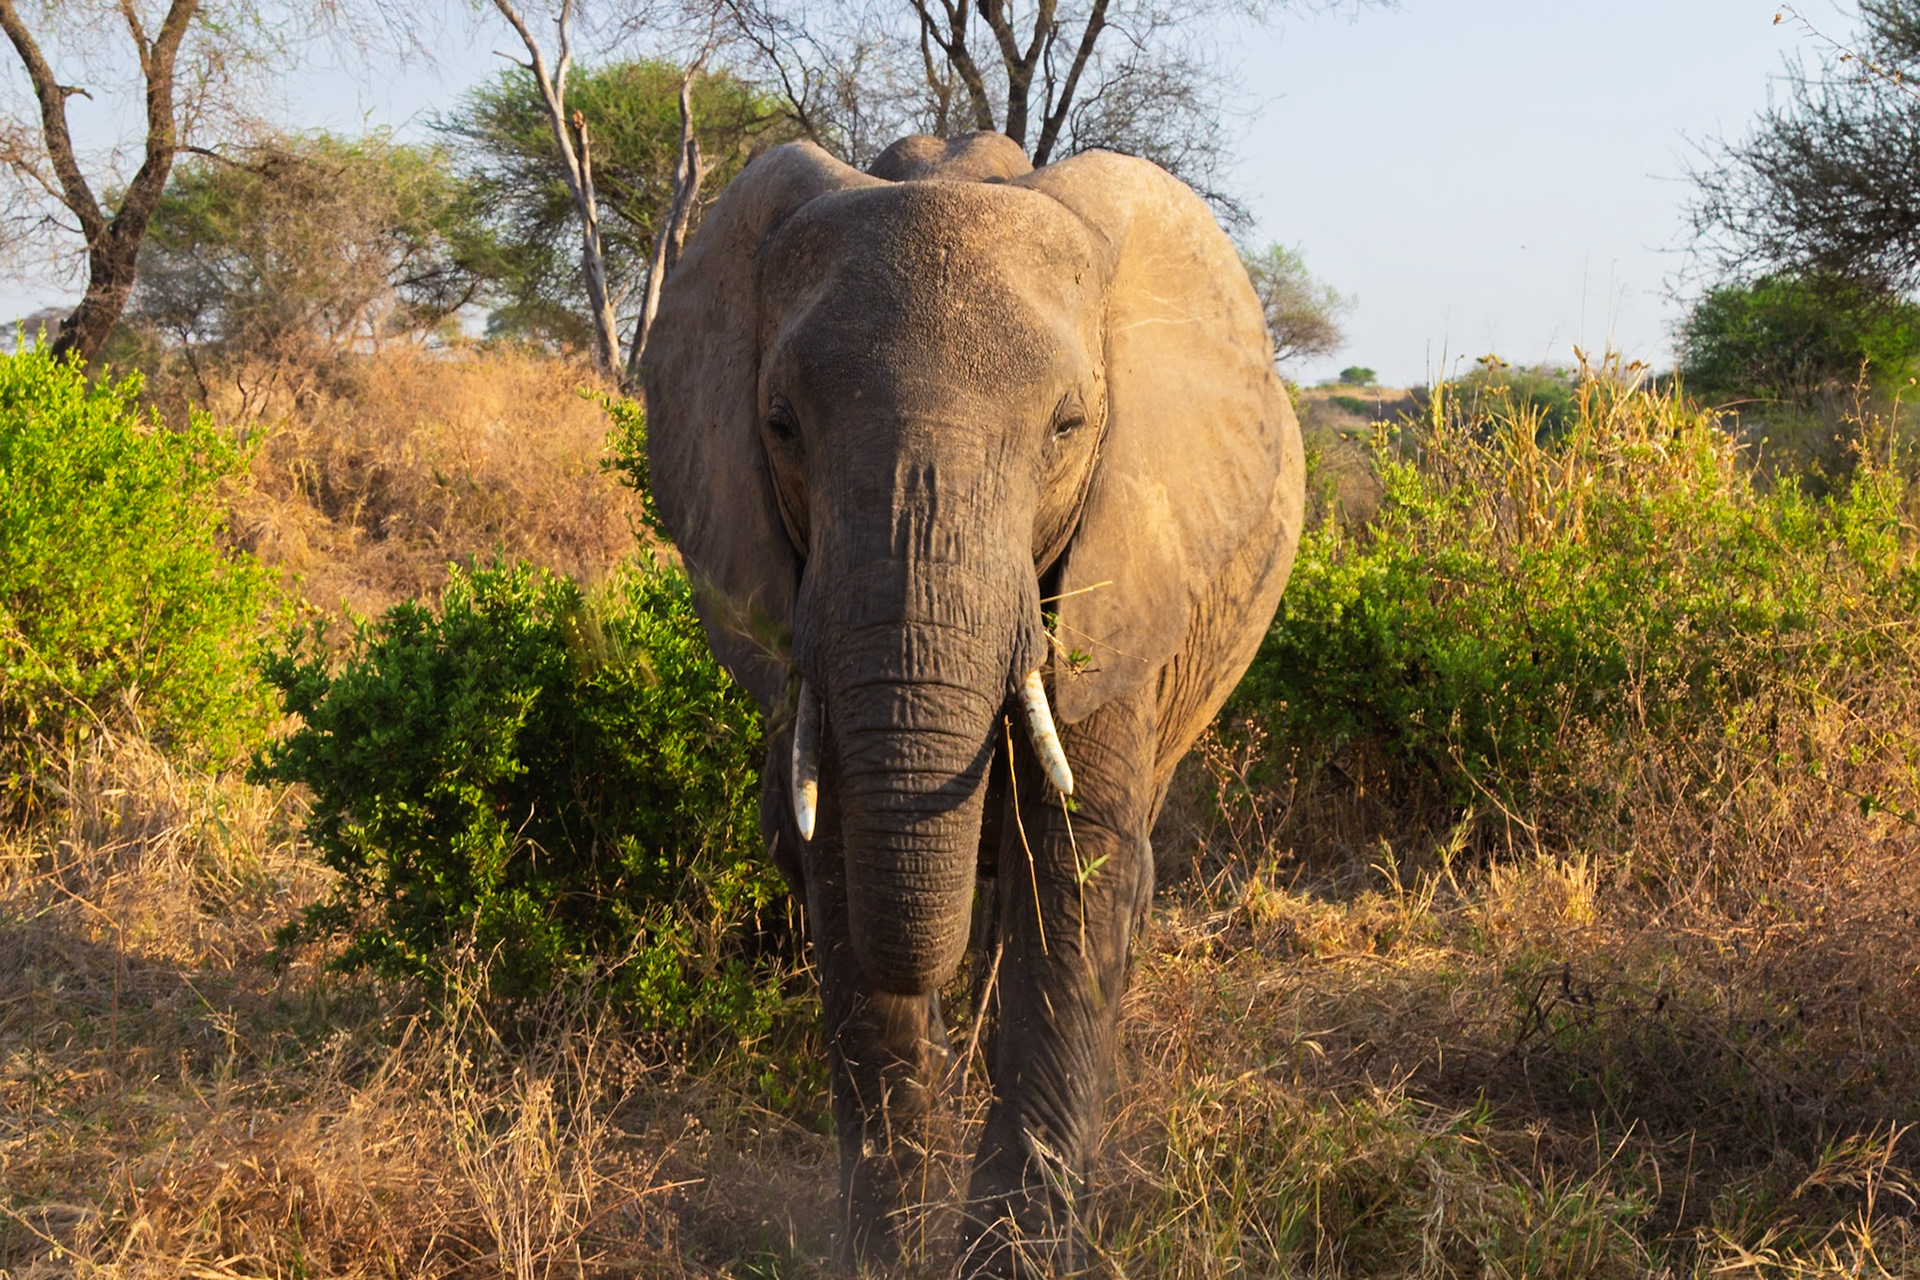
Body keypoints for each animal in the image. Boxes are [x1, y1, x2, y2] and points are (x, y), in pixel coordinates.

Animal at [642, 129, 1304, 1275]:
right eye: (780, 425)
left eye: (1068, 425)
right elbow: (842, 859)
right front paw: (897, 1256)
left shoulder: (1121, 570)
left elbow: (1076, 865)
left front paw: (1009, 1257)